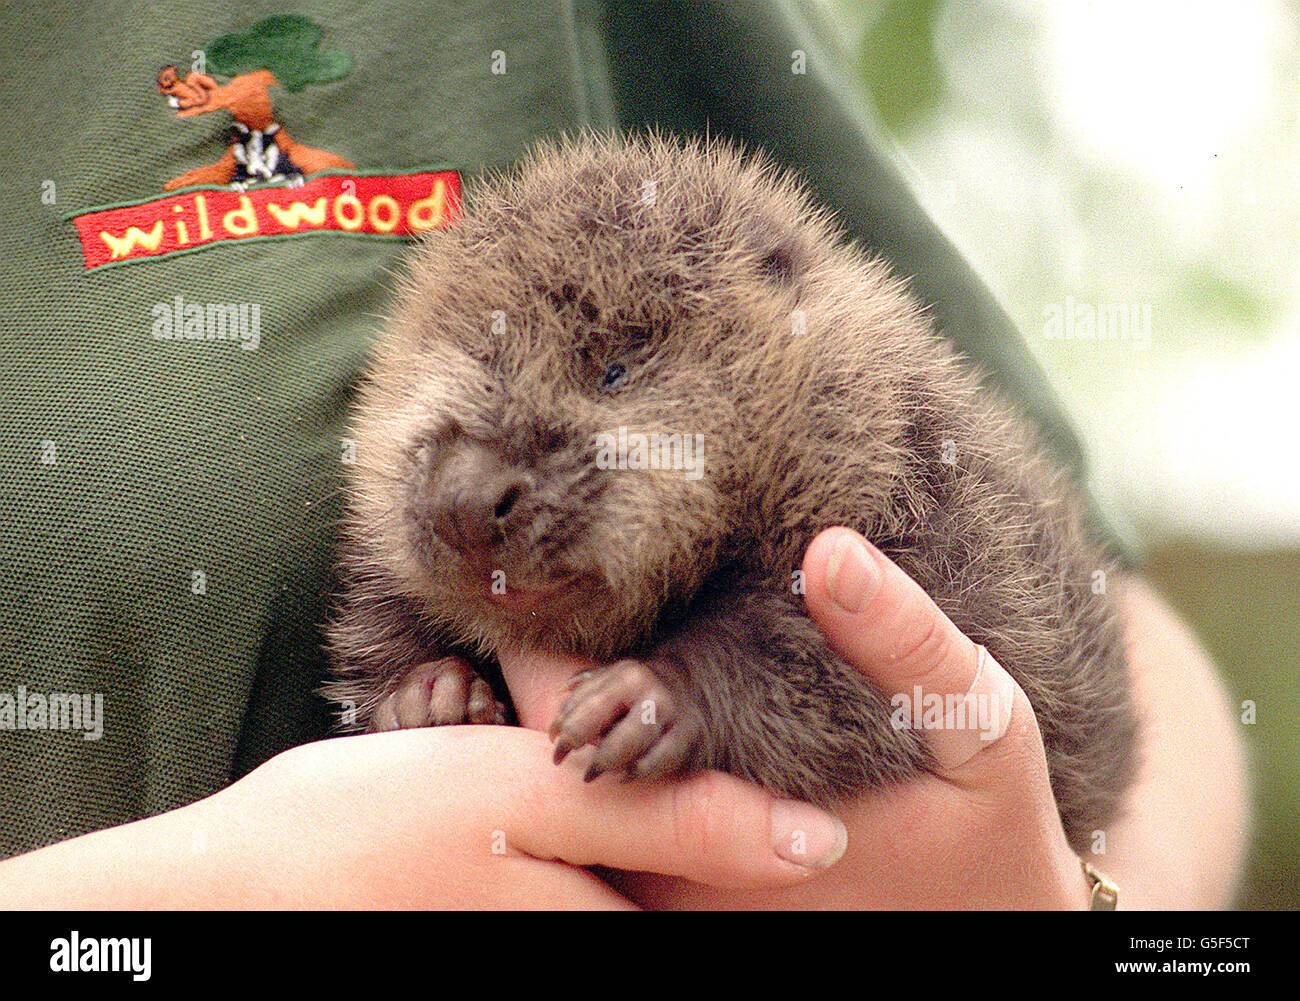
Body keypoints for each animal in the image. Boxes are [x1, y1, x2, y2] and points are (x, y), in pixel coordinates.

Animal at [325, 130, 1138, 852]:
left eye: (613, 369)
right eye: (455, 360)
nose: (468, 497)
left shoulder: (942, 517)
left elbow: (837, 664)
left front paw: (641, 698)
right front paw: (430, 693)